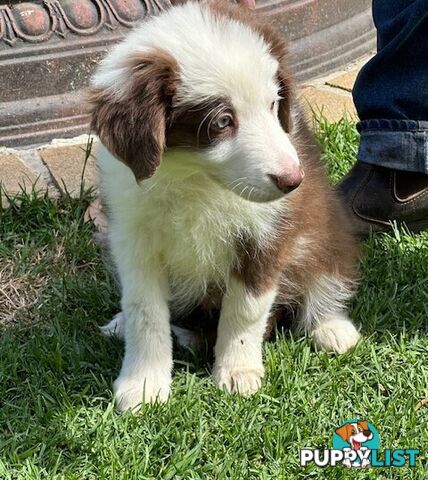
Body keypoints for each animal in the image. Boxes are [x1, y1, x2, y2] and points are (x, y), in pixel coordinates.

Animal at [90, 0, 362, 412]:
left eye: (273, 104)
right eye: (221, 121)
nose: (293, 180)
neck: (195, 180)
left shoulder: (268, 234)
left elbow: (246, 309)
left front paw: (238, 371)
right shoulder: (133, 237)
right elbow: (144, 310)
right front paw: (143, 384)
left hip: (326, 234)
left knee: (323, 282)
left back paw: (332, 328)